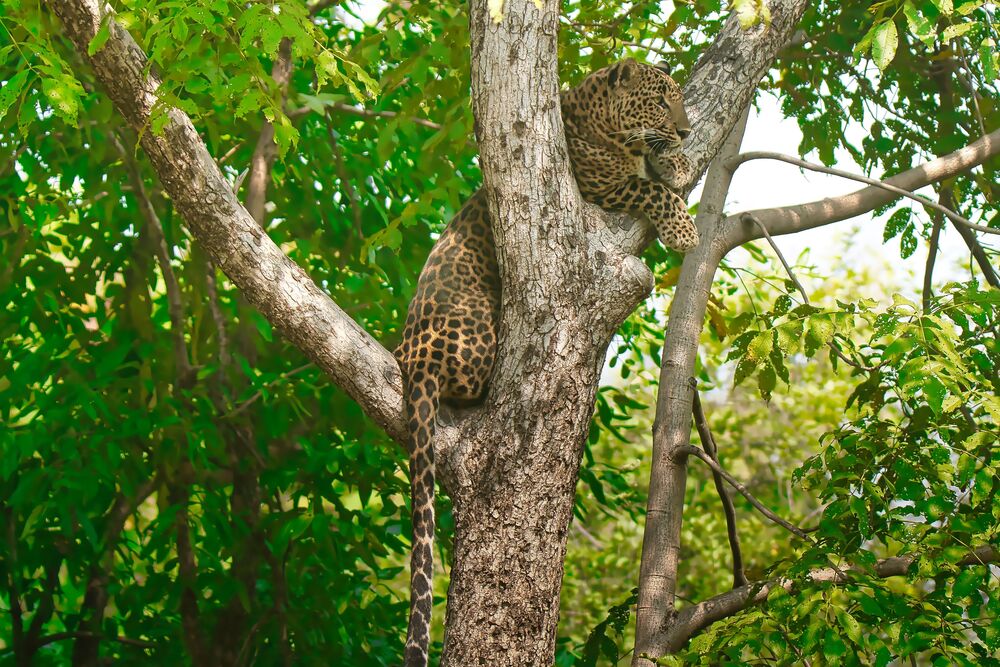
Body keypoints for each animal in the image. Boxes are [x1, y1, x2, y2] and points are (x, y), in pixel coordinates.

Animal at [394, 58, 698, 667]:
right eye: (659, 101)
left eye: (677, 99)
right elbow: (651, 190)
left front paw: (675, 161)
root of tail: (413, 358)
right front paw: (683, 226)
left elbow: (658, 172)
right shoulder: (601, 184)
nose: (684, 130)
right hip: (482, 334)